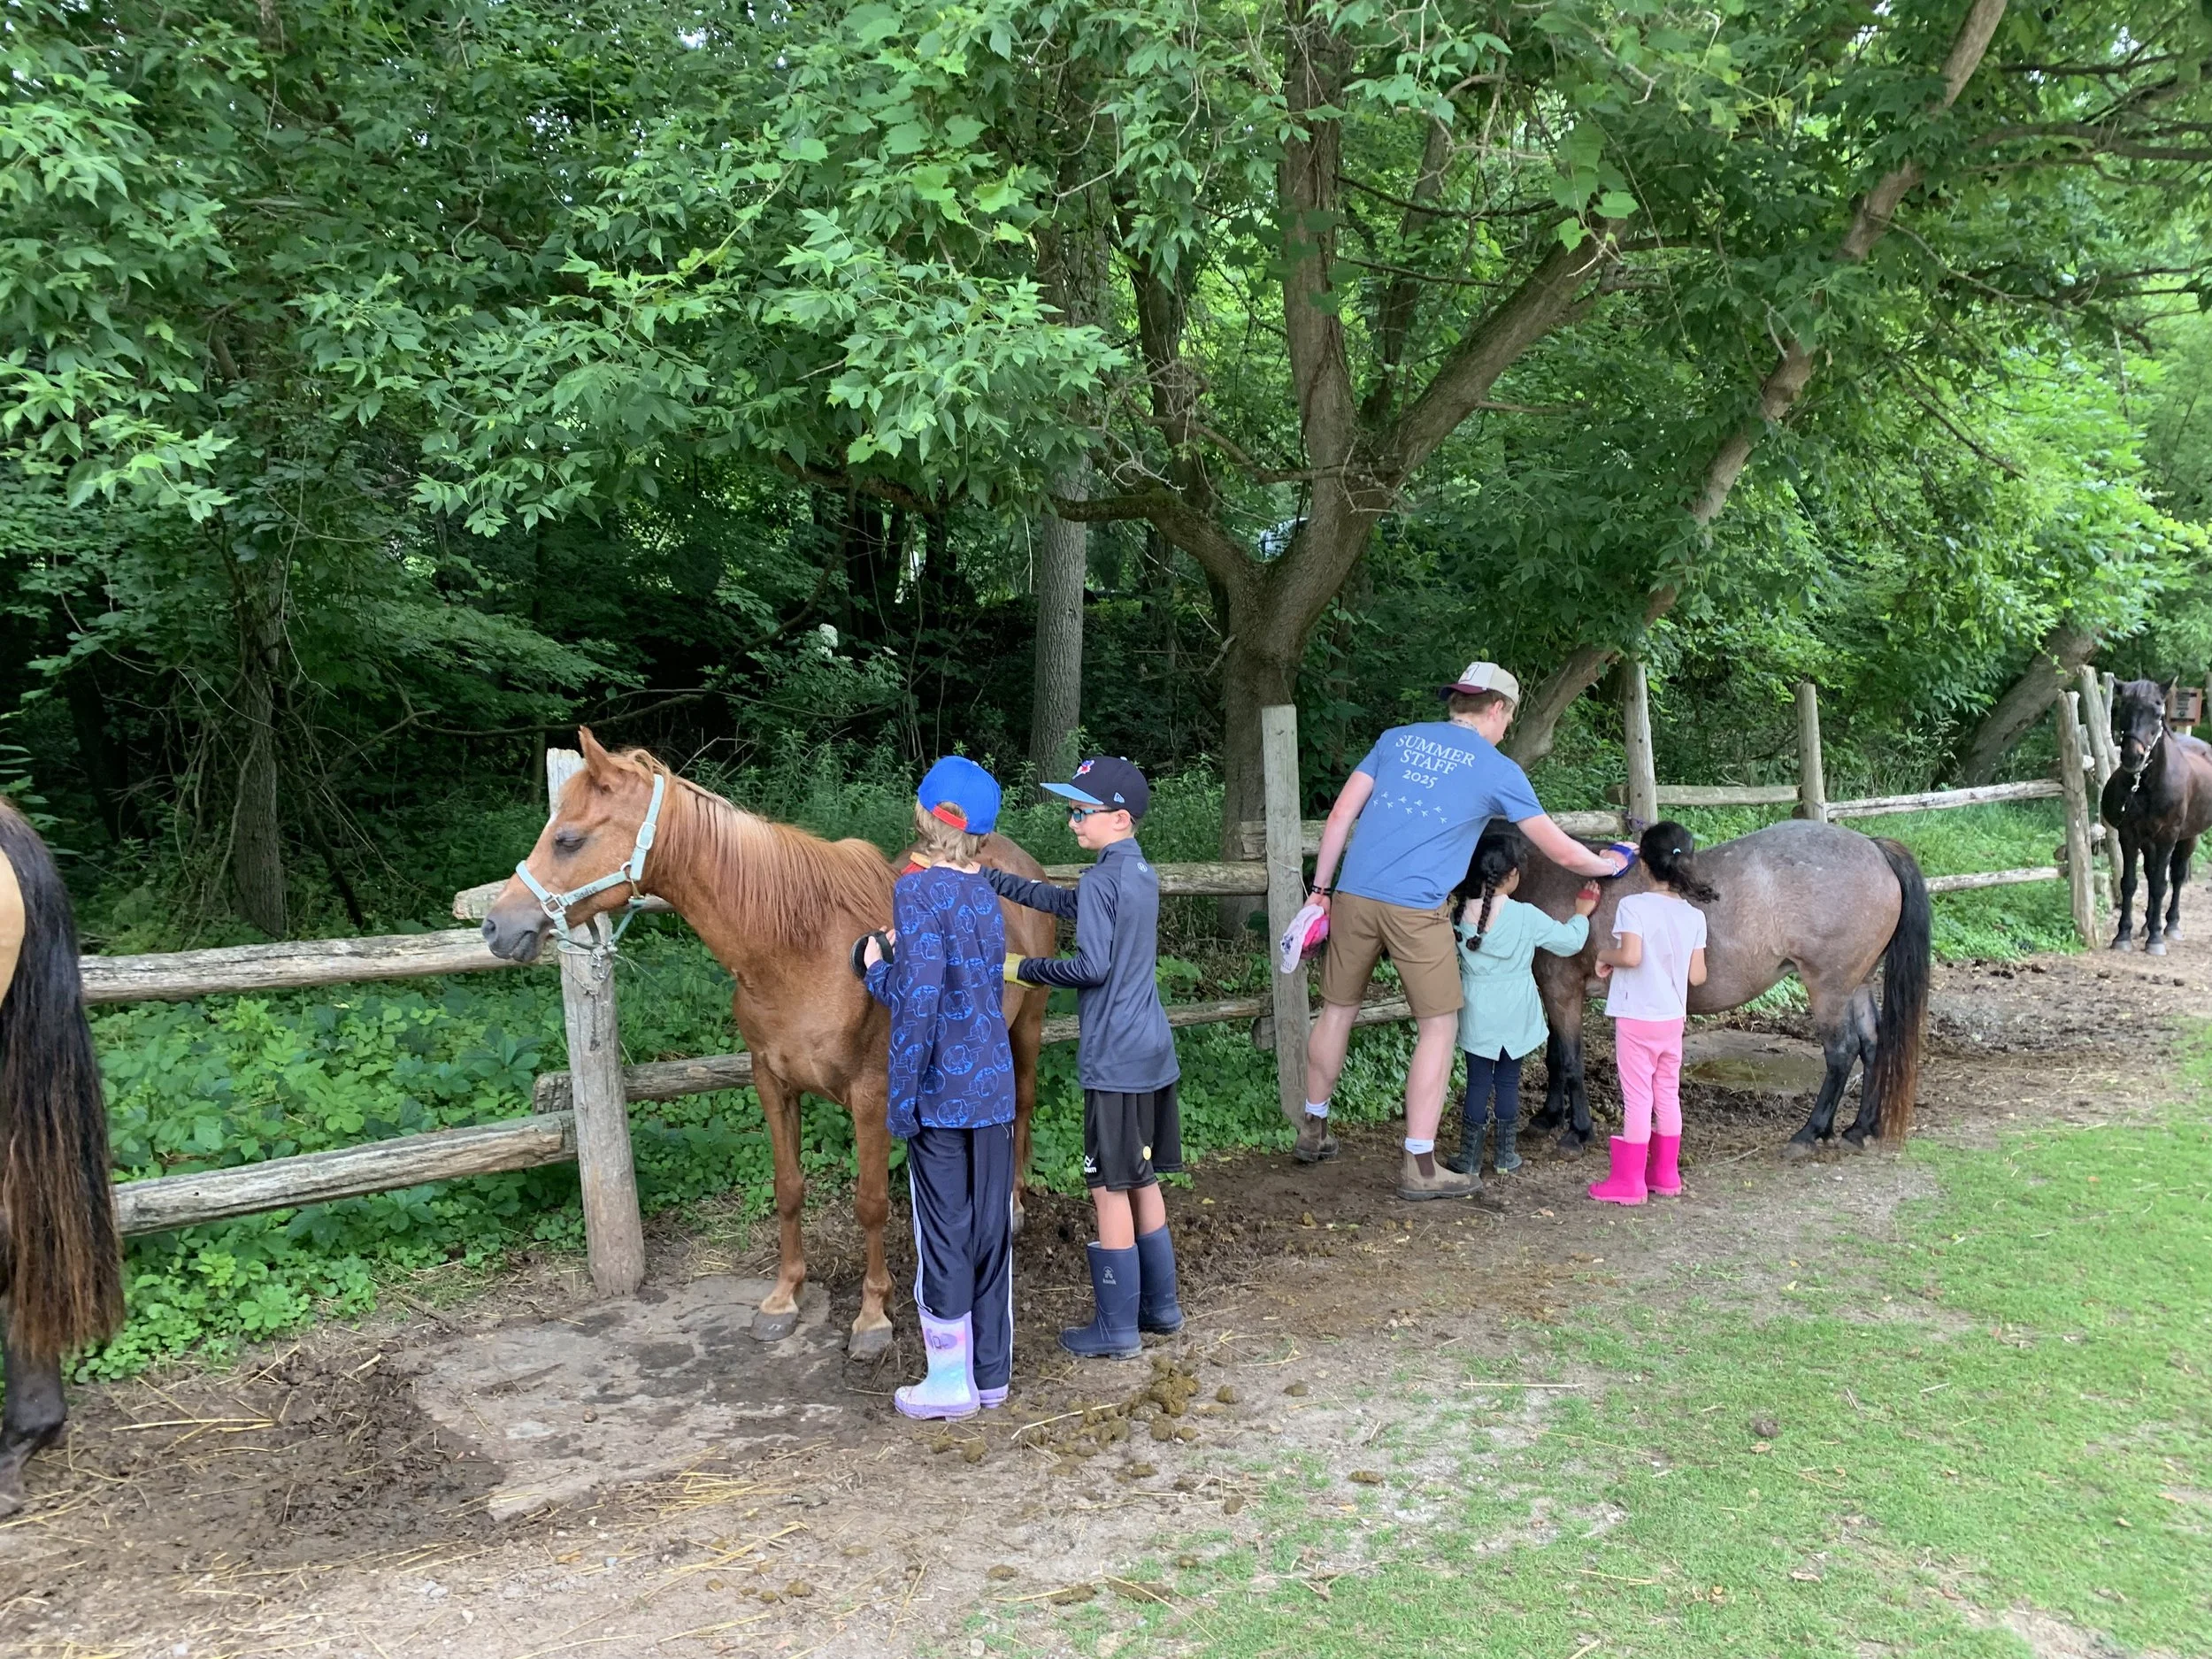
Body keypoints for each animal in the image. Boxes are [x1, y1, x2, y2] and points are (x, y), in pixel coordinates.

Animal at [480, 732, 1054, 1360]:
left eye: (568, 838)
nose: (495, 927)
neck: (803, 950)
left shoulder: (873, 1095)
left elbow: (870, 1203)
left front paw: (872, 1316)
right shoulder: (772, 1082)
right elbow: (788, 1189)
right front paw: (784, 1299)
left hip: (1026, 1028)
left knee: (1021, 1106)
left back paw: (1014, 1208)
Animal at [1517, 819, 1931, 1158]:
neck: (1554, 877)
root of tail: (1874, 847)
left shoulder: (1562, 989)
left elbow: (1570, 1061)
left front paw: (1576, 1132)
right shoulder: (1555, 990)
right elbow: (1556, 1056)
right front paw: (1547, 1117)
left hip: (1829, 988)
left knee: (1843, 1052)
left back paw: (1810, 1133)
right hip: (1856, 984)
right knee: (1873, 1044)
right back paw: (1859, 1129)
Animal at [2101, 678, 2212, 956]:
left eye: (2158, 712)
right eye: (2123, 708)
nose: (2133, 756)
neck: (2147, 785)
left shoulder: (2168, 837)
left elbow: (2162, 884)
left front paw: (2156, 940)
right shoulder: (2129, 835)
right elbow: (2130, 883)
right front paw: (2123, 935)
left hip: (2188, 838)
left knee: (2176, 877)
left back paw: (2169, 925)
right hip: (2148, 842)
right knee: (2151, 876)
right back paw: (2147, 926)